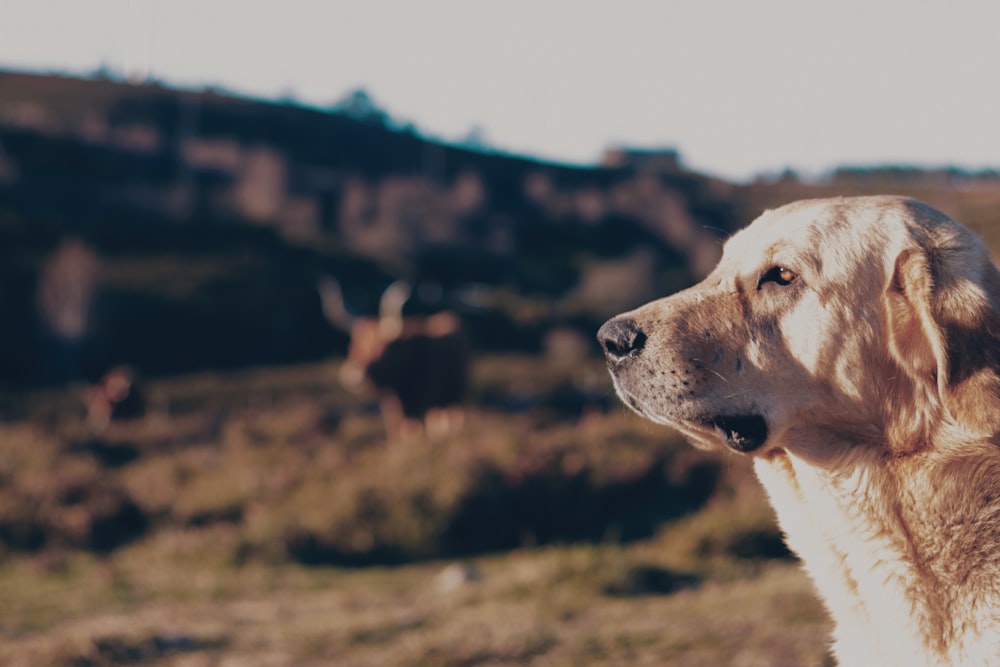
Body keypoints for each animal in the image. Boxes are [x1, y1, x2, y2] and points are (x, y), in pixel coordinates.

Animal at [324, 276, 472, 438]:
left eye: (381, 349)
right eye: (353, 344)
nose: (354, 376)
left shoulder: (420, 406)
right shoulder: (394, 414)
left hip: (455, 395)